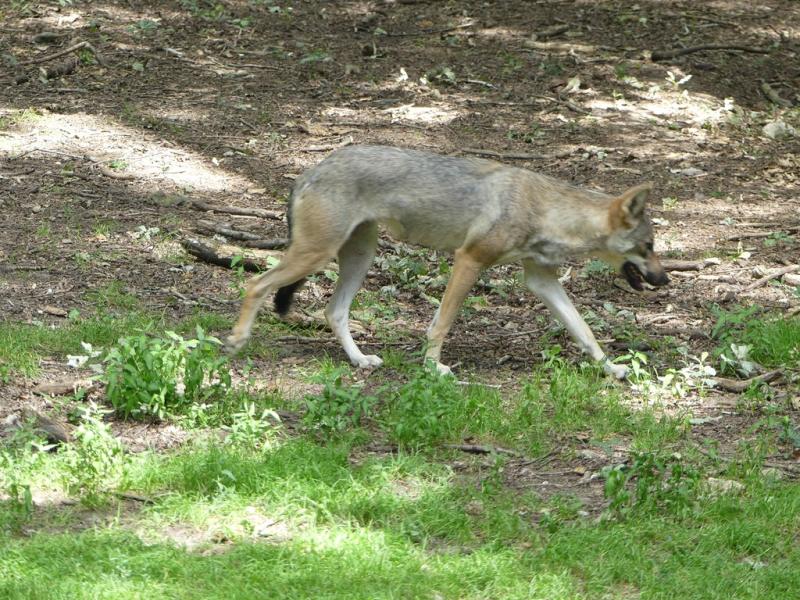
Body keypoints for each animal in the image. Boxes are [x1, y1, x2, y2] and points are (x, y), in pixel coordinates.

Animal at [225, 145, 669, 379]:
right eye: (647, 246)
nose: (664, 281)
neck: (549, 211)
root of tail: (311, 170)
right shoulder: (468, 260)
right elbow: (441, 324)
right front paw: (432, 367)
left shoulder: (541, 281)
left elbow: (585, 332)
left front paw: (612, 370)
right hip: (316, 257)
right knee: (255, 285)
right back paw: (236, 342)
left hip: (358, 258)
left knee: (333, 312)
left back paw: (359, 360)